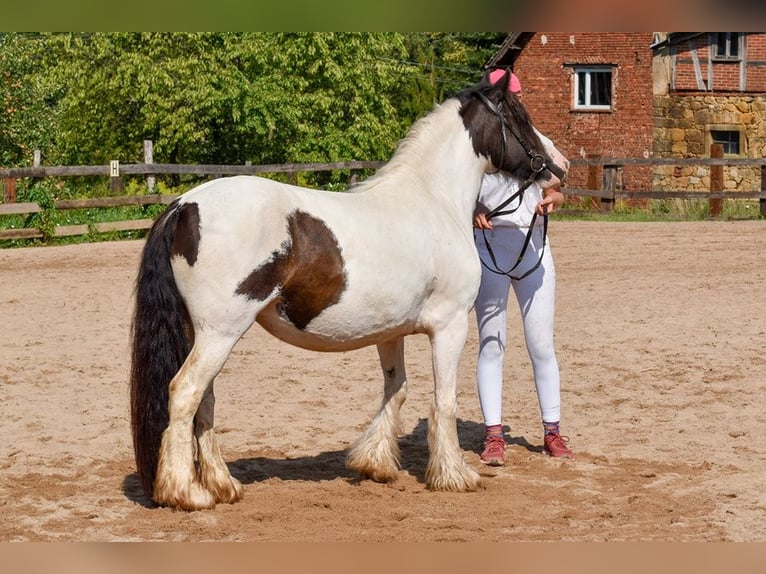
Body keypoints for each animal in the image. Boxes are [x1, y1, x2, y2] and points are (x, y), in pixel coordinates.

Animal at [129, 68, 568, 512]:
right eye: (520, 116)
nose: (560, 166)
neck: (432, 201)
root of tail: (183, 204)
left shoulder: (391, 332)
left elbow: (397, 389)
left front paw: (374, 463)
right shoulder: (450, 326)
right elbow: (443, 399)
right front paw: (454, 475)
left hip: (204, 334)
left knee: (205, 401)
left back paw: (222, 485)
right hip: (220, 333)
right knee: (185, 393)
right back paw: (186, 492)